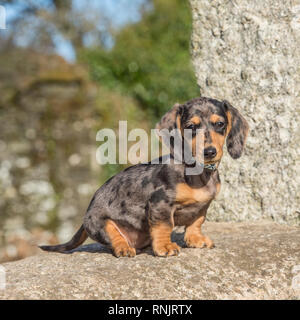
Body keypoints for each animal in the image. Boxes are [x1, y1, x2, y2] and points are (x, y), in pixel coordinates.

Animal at [39, 97, 248, 258]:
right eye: (190, 126)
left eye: (220, 124)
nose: (209, 152)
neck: (196, 172)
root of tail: (85, 217)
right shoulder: (160, 202)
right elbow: (164, 225)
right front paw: (164, 246)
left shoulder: (203, 206)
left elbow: (196, 222)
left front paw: (196, 239)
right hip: (100, 223)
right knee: (112, 236)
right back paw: (123, 248)